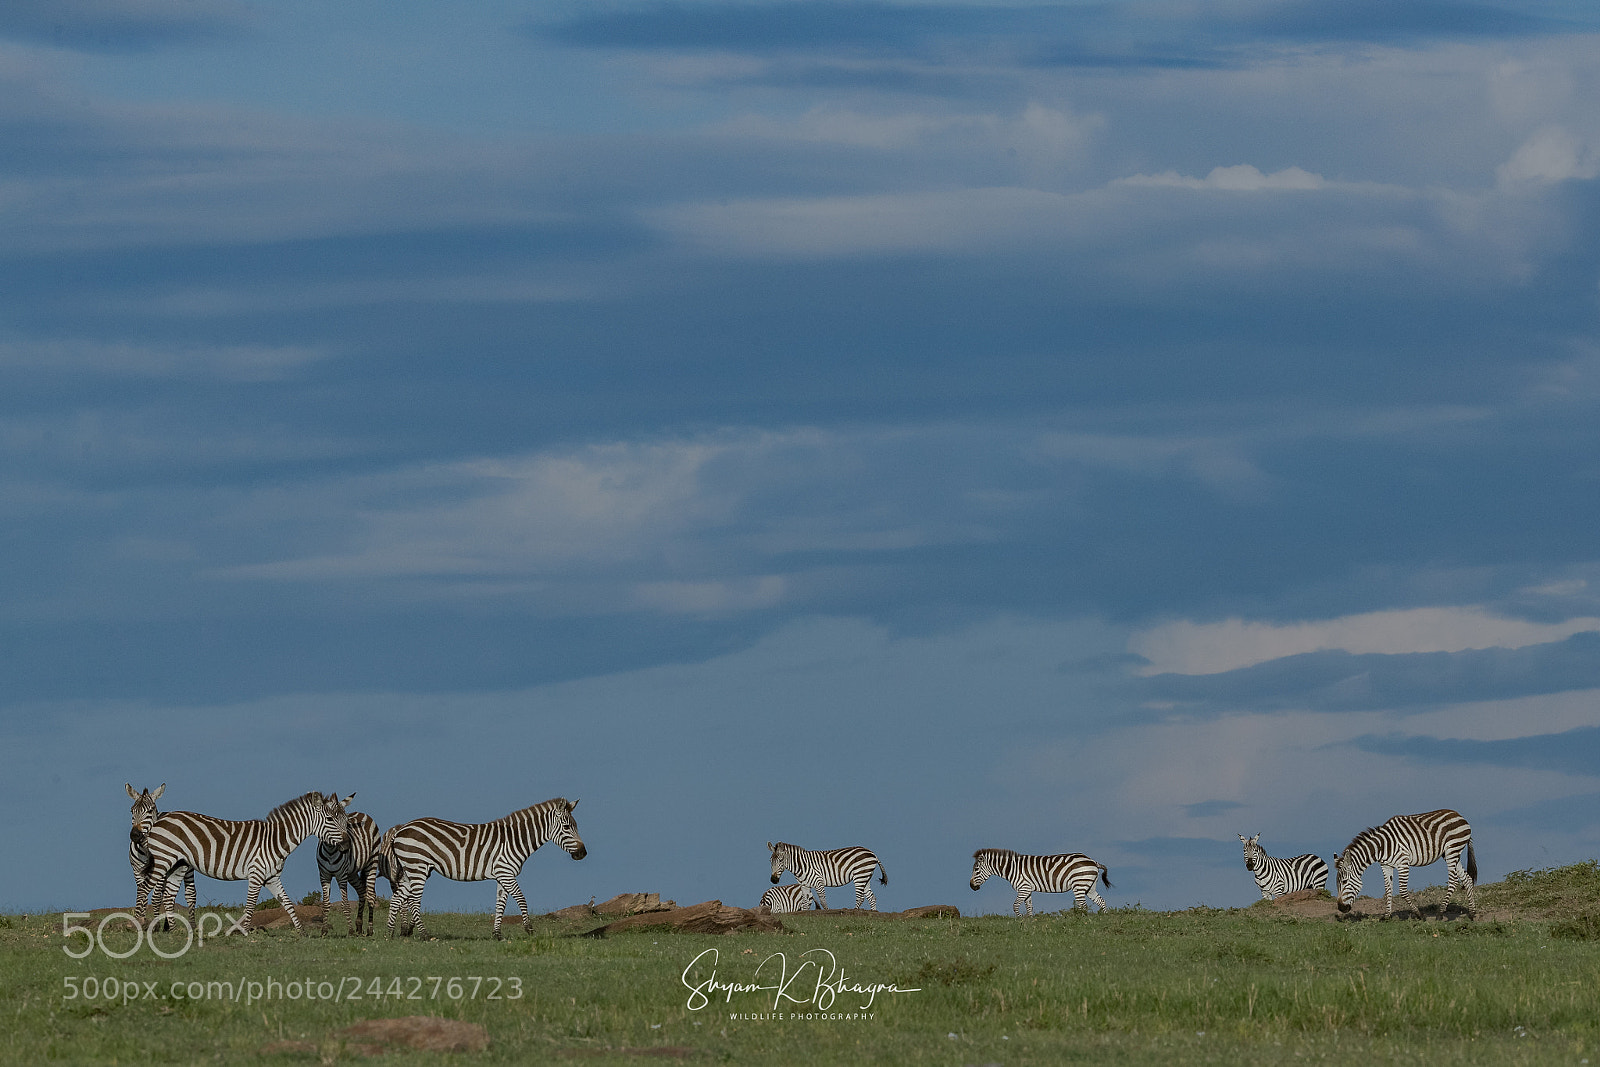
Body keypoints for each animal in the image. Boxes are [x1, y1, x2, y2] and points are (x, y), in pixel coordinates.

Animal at [137, 791, 351, 934]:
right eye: (330, 819)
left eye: (346, 821)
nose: (348, 845)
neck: (275, 840)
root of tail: (161, 818)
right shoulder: (256, 874)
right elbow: (251, 905)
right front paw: (245, 932)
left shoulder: (272, 878)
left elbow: (288, 904)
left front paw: (301, 933)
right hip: (163, 858)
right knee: (144, 888)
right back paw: (140, 924)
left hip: (178, 864)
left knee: (168, 896)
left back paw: (175, 931)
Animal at [317, 799, 381, 936]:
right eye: (330, 820)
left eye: (346, 823)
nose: (346, 846)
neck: (330, 852)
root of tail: (362, 813)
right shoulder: (324, 875)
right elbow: (325, 904)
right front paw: (324, 931)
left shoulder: (341, 876)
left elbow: (345, 904)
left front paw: (350, 931)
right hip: (351, 873)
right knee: (362, 891)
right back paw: (359, 925)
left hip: (372, 861)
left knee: (371, 895)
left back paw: (369, 929)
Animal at [386, 797, 586, 940]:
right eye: (567, 827)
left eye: (576, 826)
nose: (583, 853)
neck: (515, 840)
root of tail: (401, 830)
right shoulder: (506, 873)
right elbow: (521, 899)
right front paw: (529, 929)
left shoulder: (502, 875)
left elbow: (500, 905)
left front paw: (497, 935)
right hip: (418, 867)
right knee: (413, 900)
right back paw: (425, 935)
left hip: (413, 870)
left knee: (396, 898)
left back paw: (389, 934)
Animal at [969, 848, 1112, 916]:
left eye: (976, 869)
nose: (971, 886)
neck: (1012, 868)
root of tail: (1092, 861)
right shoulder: (1027, 889)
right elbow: (1029, 907)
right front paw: (1030, 922)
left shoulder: (1023, 888)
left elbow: (1015, 906)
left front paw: (1020, 919)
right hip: (1089, 887)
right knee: (1101, 901)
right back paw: (1104, 918)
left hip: (1079, 884)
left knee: (1083, 905)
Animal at [1334, 808, 1477, 920]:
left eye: (1345, 882)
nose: (1341, 908)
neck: (1382, 846)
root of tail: (1460, 816)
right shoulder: (1386, 865)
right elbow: (1388, 889)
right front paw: (1386, 916)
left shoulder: (1403, 863)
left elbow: (1402, 891)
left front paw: (1419, 914)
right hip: (1450, 854)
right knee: (1467, 879)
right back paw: (1472, 913)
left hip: (1452, 850)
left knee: (1453, 881)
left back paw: (1440, 913)